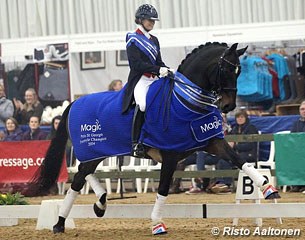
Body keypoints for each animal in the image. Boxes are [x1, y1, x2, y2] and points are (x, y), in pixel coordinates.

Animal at [27, 42, 280, 235]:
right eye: (225, 70)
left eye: (239, 71)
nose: (228, 106)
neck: (185, 102)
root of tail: (75, 102)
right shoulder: (170, 155)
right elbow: (164, 189)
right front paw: (157, 224)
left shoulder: (210, 140)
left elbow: (239, 160)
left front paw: (268, 188)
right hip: (92, 150)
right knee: (79, 178)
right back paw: (60, 223)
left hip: (97, 151)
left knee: (83, 172)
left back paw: (99, 204)